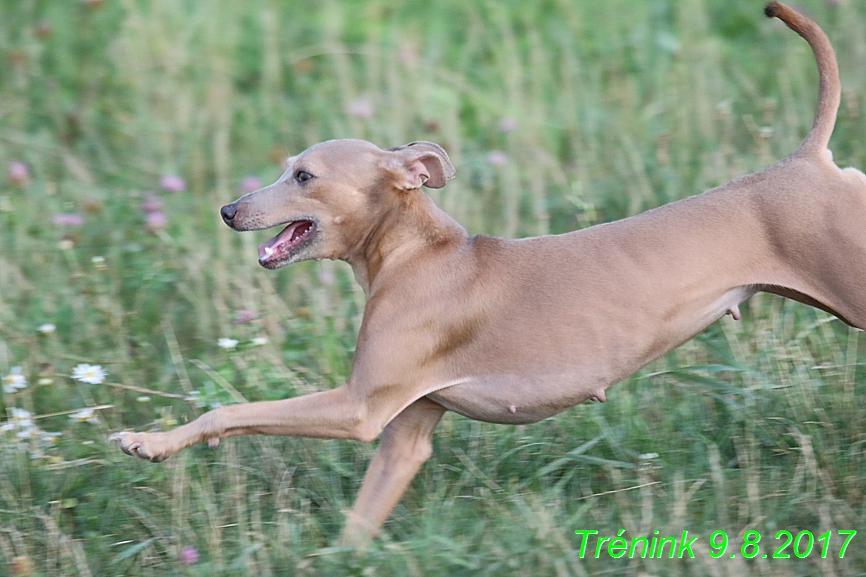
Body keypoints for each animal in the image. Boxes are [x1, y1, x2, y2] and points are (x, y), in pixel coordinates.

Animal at [111, 3, 860, 544]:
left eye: (303, 175)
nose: (228, 209)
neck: (417, 256)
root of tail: (807, 160)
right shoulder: (405, 432)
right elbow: (358, 526)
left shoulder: (359, 408)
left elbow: (229, 409)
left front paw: (148, 440)